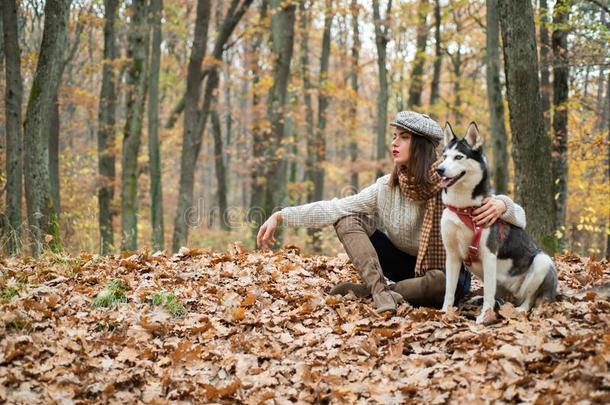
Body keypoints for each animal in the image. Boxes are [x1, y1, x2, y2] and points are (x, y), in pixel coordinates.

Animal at [434, 121, 552, 324]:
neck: (464, 207)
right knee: (499, 296)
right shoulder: (452, 255)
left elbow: (489, 291)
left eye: (458, 157)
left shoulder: (489, 254)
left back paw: (520, 309)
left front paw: (484, 316)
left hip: (543, 262)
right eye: (444, 156)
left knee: (530, 298)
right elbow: (449, 290)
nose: (439, 169)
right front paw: (445, 312)